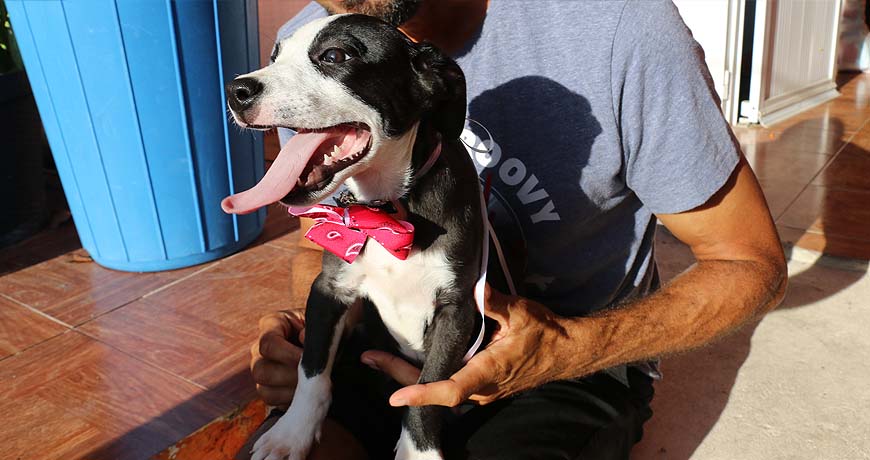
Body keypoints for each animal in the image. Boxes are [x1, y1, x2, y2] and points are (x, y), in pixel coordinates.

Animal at [221, 14, 485, 460]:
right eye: (274, 56)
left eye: (335, 56)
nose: (235, 91)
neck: (387, 209)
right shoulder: (329, 288)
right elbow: (311, 367)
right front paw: (292, 431)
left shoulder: (458, 308)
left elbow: (428, 390)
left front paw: (418, 451)